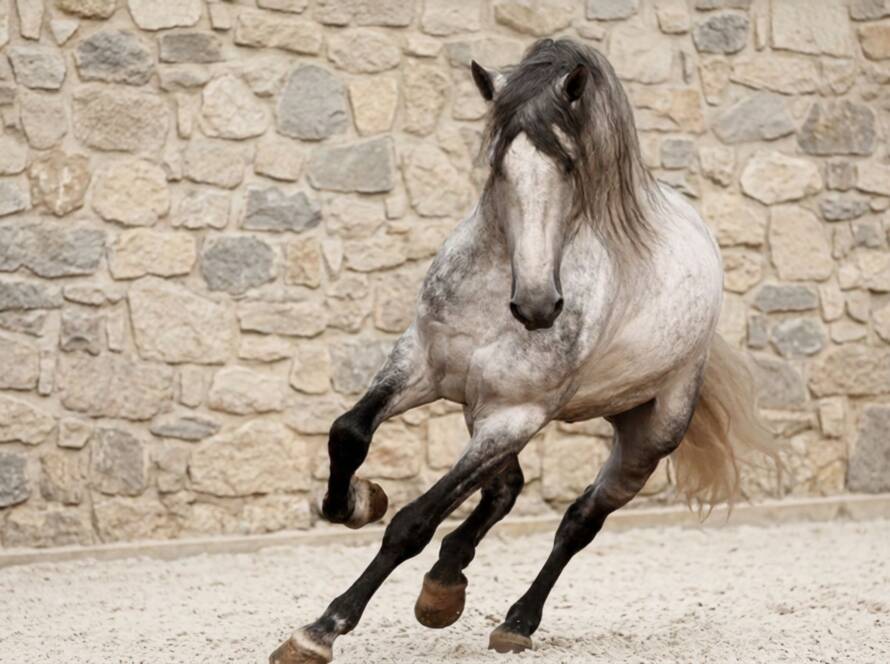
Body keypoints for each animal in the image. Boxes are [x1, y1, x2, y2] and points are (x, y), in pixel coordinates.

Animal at [270, 38, 777, 664]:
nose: (538, 306)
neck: (495, 294)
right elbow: (349, 433)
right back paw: (444, 587)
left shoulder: (515, 413)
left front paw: (323, 628)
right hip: (479, 410)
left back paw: (517, 621)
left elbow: (415, 522)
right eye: (496, 164)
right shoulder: (422, 365)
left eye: (570, 163)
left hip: (644, 433)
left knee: (579, 520)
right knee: (504, 490)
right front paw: (362, 502)